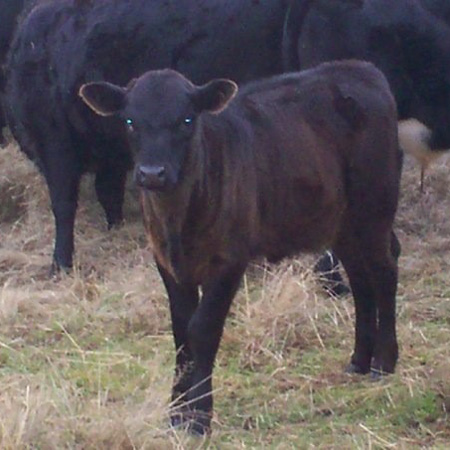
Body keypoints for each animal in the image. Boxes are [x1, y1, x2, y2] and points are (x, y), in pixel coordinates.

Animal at [5, 0, 294, 270]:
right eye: (130, 121)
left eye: (186, 120)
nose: (153, 173)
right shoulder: (90, 147)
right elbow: (95, 197)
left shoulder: (55, 139)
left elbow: (69, 201)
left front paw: (61, 264)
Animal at [79, 61, 402, 434]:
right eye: (130, 121)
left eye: (186, 120)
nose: (152, 173)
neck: (178, 223)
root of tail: (360, 68)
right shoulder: (168, 263)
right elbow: (180, 332)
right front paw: (176, 412)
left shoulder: (229, 260)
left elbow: (202, 329)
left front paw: (200, 416)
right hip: (343, 221)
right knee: (361, 278)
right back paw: (359, 360)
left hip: (375, 205)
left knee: (384, 271)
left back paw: (384, 361)